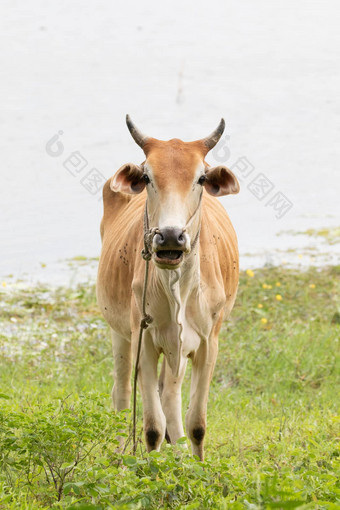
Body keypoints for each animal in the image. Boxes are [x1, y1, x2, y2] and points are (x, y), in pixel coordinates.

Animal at [95, 117, 239, 460]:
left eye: (201, 177)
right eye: (147, 176)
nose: (171, 237)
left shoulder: (207, 344)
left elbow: (197, 422)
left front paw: (198, 465)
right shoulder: (143, 342)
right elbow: (151, 427)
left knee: (170, 393)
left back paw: (179, 446)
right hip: (119, 333)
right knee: (122, 392)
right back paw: (121, 455)